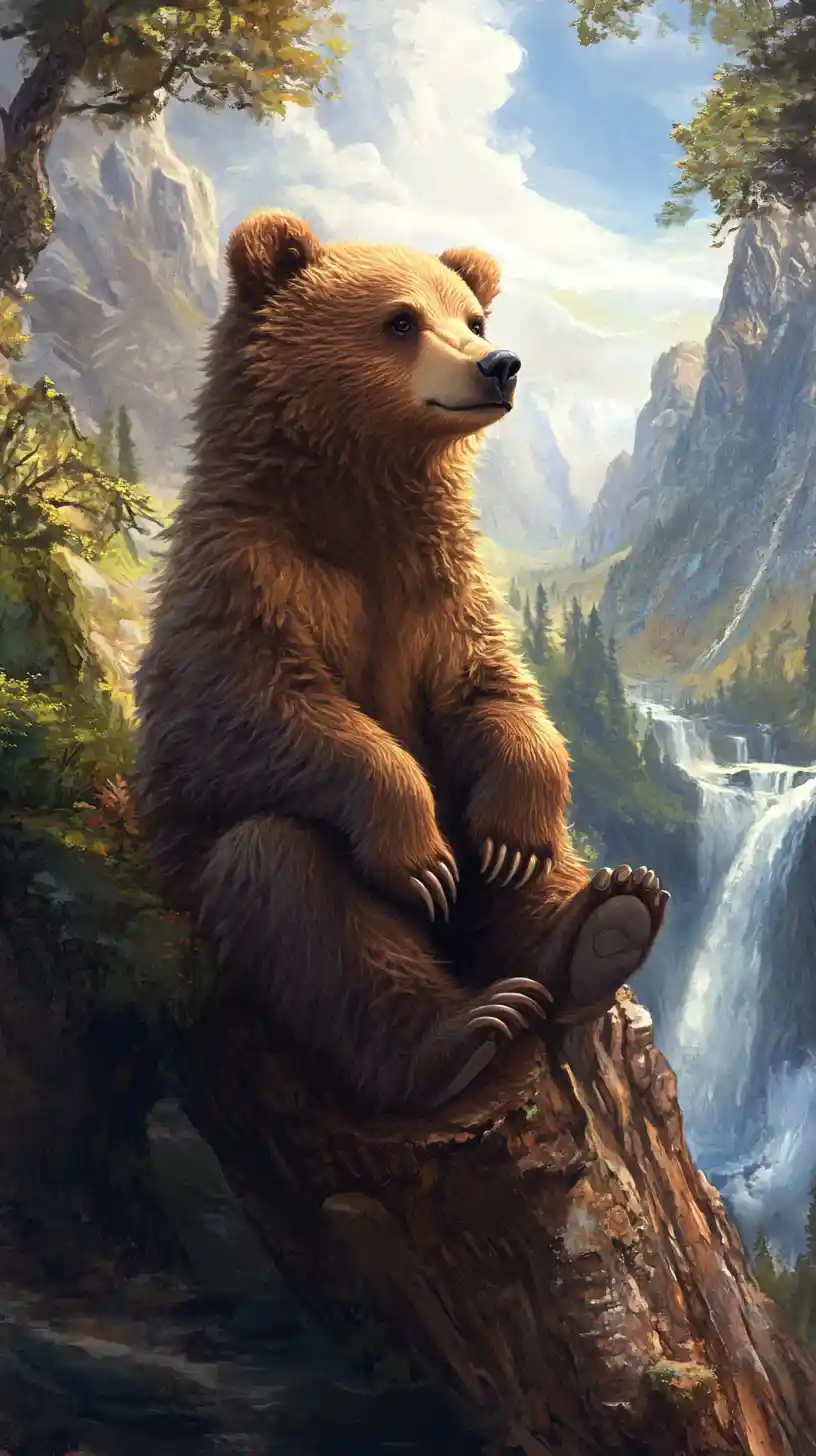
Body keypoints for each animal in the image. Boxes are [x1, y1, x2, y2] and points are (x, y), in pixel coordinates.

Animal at [133, 209, 669, 1115]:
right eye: (399, 320)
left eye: (473, 318)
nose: (499, 364)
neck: (363, 499)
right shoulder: (250, 579)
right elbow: (255, 707)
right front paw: (416, 847)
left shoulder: (442, 591)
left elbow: (493, 693)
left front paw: (520, 826)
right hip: (198, 886)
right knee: (291, 887)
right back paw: (465, 1031)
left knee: (524, 873)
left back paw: (606, 920)